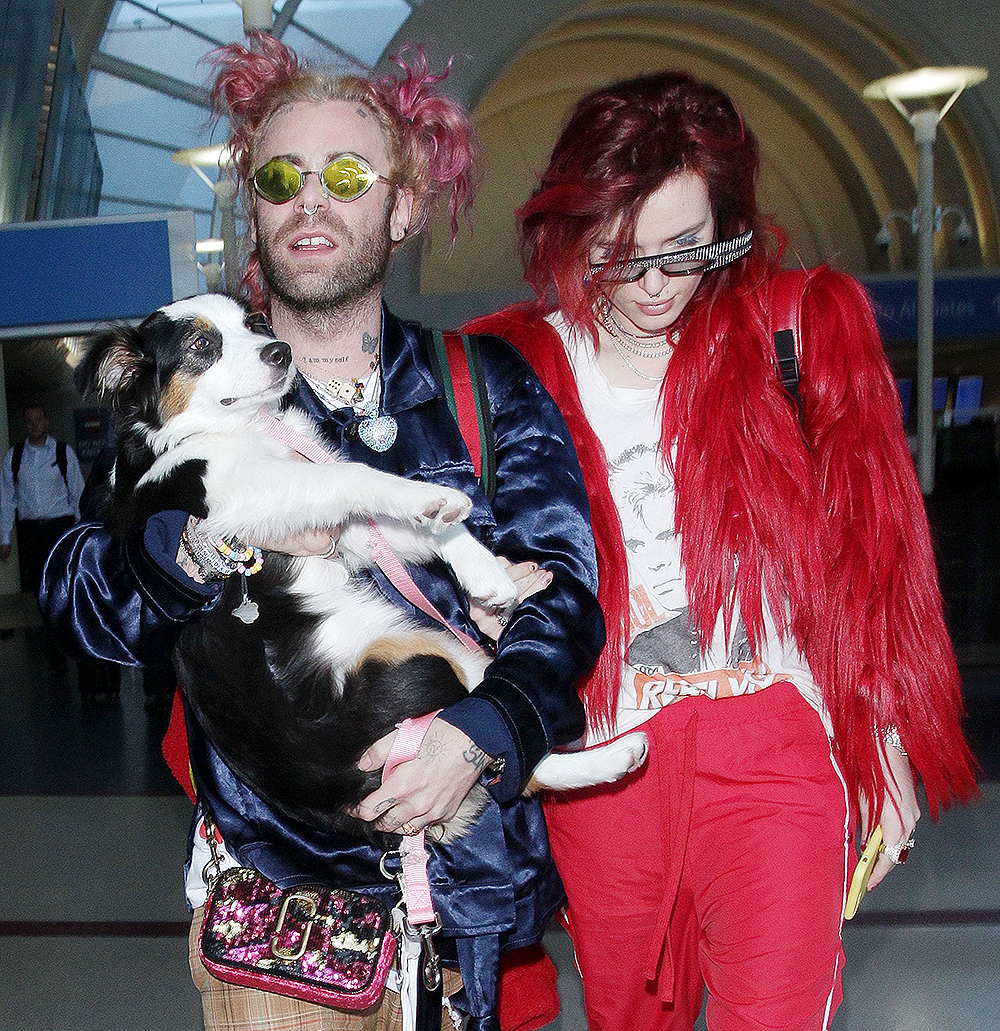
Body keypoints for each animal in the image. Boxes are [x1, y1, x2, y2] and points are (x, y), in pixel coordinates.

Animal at [75, 294, 639, 841]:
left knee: (512, 750)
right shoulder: (246, 491)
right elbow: (351, 474)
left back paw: (618, 756)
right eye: (200, 345)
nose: (280, 351)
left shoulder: (335, 529)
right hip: (425, 657)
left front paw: (483, 568)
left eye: (255, 324)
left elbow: (417, 527)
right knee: (502, 747)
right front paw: (433, 497)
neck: (244, 428)